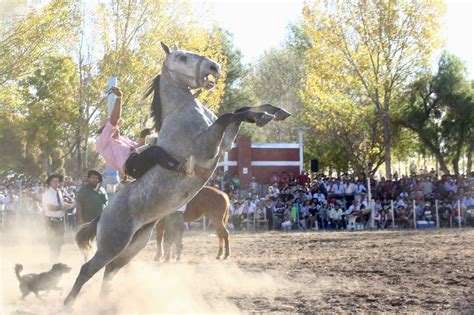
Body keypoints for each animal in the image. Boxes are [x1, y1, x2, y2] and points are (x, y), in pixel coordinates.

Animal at [63, 42, 288, 306]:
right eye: (181, 57)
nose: (214, 66)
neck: (182, 112)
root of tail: (102, 215)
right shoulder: (208, 146)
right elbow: (228, 115)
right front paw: (263, 116)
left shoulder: (223, 146)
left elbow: (238, 111)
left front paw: (272, 111)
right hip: (112, 244)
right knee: (88, 269)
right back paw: (68, 303)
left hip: (135, 244)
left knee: (110, 270)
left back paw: (106, 303)